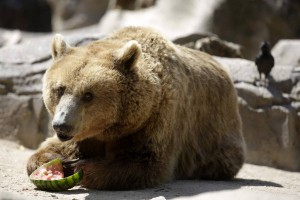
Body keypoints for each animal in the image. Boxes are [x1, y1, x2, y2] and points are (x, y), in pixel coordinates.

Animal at [27, 26, 245, 191]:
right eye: (60, 89)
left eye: (88, 95)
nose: (61, 125)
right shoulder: (85, 133)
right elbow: (51, 149)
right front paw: (54, 159)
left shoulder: (157, 120)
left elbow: (145, 162)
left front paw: (83, 167)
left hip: (217, 135)